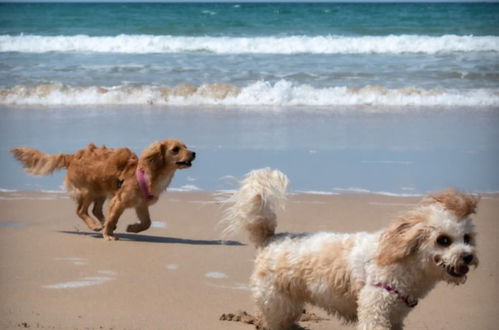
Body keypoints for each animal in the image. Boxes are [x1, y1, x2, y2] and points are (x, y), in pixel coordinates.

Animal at [11, 138, 195, 241]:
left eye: (186, 146)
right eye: (175, 149)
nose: (194, 153)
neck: (148, 173)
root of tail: (72, 156)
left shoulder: (140, 204)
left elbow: (147, 223)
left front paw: (132, 228)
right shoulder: (119, 200)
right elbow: (113, 217)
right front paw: (108, 235)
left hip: (100, 190)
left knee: (96, 210)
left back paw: (101, 223)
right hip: (87, 191)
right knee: (81, 210)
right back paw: (94, 226)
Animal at [223, 169, 480, 328]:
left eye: (467, 238)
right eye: (443, 240)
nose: (468, 257)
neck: (404, 262)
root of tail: (271, 238)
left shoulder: (395, 317)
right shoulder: (375, 312)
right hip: (276, 301)